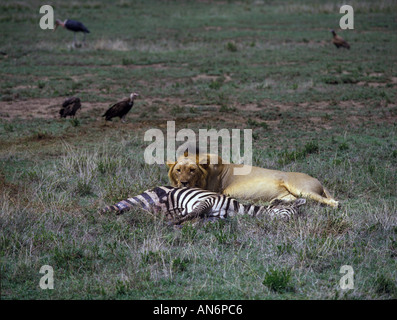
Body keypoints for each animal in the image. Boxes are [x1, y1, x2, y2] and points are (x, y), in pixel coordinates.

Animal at [166, 154, 338, 209]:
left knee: (332, 202)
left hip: (301, 188)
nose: (184, 183)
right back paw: (275, 202)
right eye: (178, 170)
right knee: (298, 200)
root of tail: (318, 181)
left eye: (192, 170)